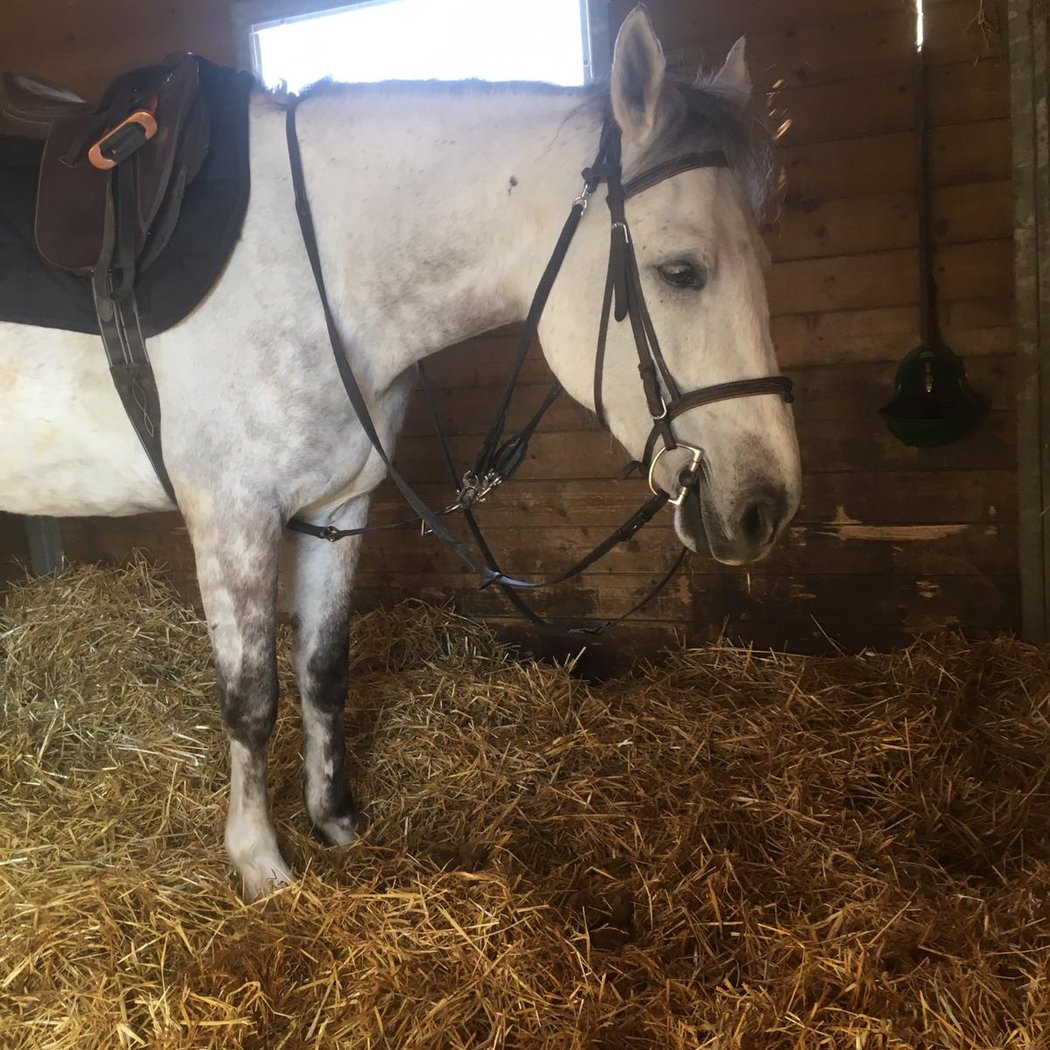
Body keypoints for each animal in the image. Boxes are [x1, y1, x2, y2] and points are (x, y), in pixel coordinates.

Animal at [0, 7, 801, 899]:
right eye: (681, 271)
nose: (764, 506)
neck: (313, 266)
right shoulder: (232, 516)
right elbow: (250, 699)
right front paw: (260, 864)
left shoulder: (337, 508)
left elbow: (323, 671)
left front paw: (335, 822)